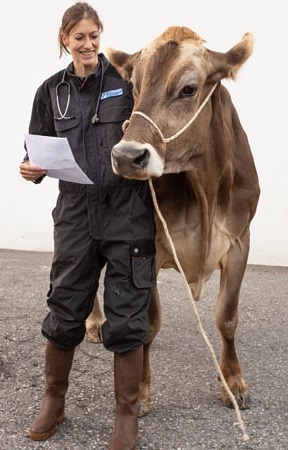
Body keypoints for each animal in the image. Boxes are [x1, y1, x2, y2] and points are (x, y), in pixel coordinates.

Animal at [85, 27, 258, 414]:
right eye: (134, 86)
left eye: (189, 89)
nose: (126, 156)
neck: (205, 189)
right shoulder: (145, 244)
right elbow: (150, 323)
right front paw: (140, 390)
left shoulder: (239, 240)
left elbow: (227, 317)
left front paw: (234, 381)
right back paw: (94, 321)